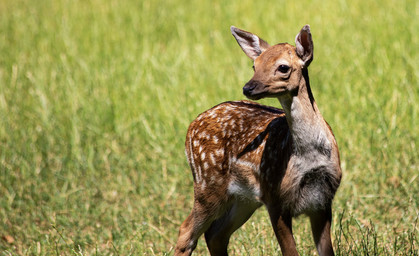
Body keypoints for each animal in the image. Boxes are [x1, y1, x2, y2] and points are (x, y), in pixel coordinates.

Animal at [176, 24, 342, 256]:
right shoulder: (275, 197)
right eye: (254, 65)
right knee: (186, 231)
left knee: (215, 234)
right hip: (207, 184)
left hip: (243, 199)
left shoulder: (323, 199)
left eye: (283, 67)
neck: (309, 157)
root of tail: (192, 125)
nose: (248, 87)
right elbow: (290, 252)